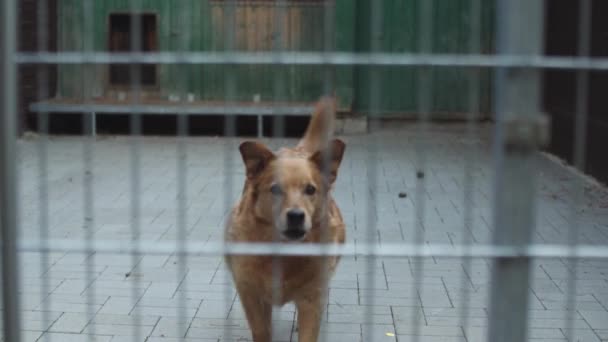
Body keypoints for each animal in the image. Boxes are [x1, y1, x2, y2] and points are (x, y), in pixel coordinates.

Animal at [224, 97, 346, 342]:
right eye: (276, 189)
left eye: (310, 189)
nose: (296, 215)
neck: (284, 253)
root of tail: (297, 150)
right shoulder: (250, 293)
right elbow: (261, 330)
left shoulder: (312, 299)